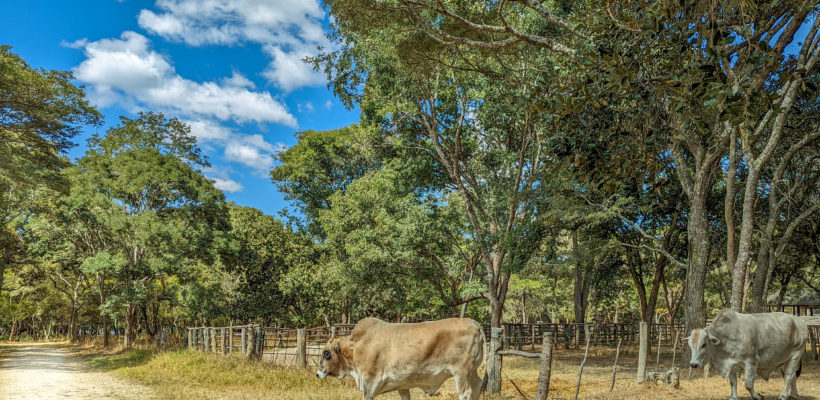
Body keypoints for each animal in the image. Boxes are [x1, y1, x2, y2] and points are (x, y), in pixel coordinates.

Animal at [316, 318, 484, 398]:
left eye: (326, 353)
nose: (318, 374)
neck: (357, 346)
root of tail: (472, 322)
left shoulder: (369, 382)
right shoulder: (402, 386)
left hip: (461, 372)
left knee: (466, 393)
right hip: (471, 372)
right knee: (477, 386)